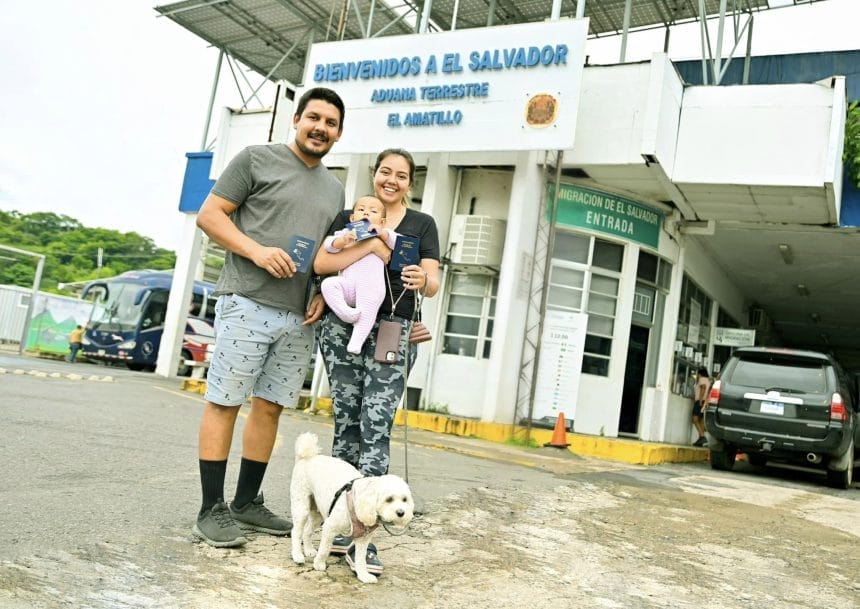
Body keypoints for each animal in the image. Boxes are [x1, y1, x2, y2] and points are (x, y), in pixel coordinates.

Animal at [289, 432, 414, 583]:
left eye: (405, 500)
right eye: (389, 499)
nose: (401, 513)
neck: (361, 501)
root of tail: (307, 457)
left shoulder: (363, 538)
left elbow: (360, 559)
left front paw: (363, 575)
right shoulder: (330, 527)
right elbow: (324, 549)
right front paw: (319, 564)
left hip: (318, 513)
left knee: (307, 530)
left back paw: (308, 550)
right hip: (301, 507)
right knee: (296, 531)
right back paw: (297, 555)